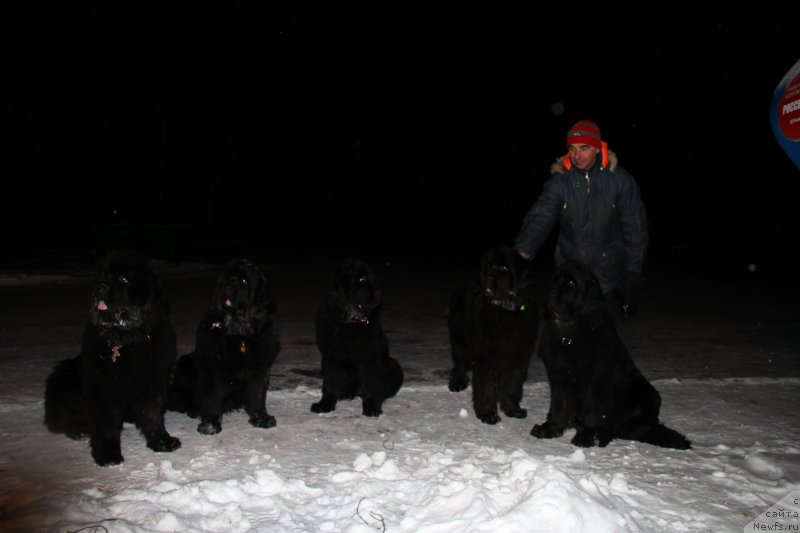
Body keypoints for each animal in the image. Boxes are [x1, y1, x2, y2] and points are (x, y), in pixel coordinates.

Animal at [45, 251, 181, 464]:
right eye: (104, 275)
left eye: (124, 279)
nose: (101, 286)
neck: (125, 341)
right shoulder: (103, 387)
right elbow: (106, 422)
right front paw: (108, 454)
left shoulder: (152, 381)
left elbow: (152, 414)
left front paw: (161, 442)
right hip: (63, 374)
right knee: (62, 418)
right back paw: (79, 429)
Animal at [169, 260, 282, 434]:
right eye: (228, 278)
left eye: (244, 281)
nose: (229, 286)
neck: (239, 333)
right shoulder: (212, 368)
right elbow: (212, 398)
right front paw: (210, 425)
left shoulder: (260, 368)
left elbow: (257, 396)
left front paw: (261, 419)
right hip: (185, 363)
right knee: (184, 399)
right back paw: (195, 410)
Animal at [310, 258, 404, 416]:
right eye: (362, 279)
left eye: (372, 279)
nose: (380, 293)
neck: (348, 322)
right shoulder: (329, 357)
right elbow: (329, 383)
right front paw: (325, 404)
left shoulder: (369, 358)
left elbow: (371, 384)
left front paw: (371, 406)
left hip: (393, 364)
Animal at [446, 244, 540, 424]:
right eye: (489, 267)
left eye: (504, 268)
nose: (487, 276)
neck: (505, 312)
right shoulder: (486, 359)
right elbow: (486, 388)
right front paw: (488, 414)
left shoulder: (518, 358)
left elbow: (512, 386)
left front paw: (512, 409)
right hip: (460, 339)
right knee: (460, 362)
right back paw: (458, 382)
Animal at [528, 262, 692, 448]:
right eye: (555, 281)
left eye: (571, 283)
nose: (553, 290)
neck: (571, 335)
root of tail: (652, 423)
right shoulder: (559, 379)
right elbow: (558, 406)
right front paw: (550, 428)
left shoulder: (595, 383)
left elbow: (591, 412)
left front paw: (586, 437)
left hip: (645, 396)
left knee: (620, 430)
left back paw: (600, 436)